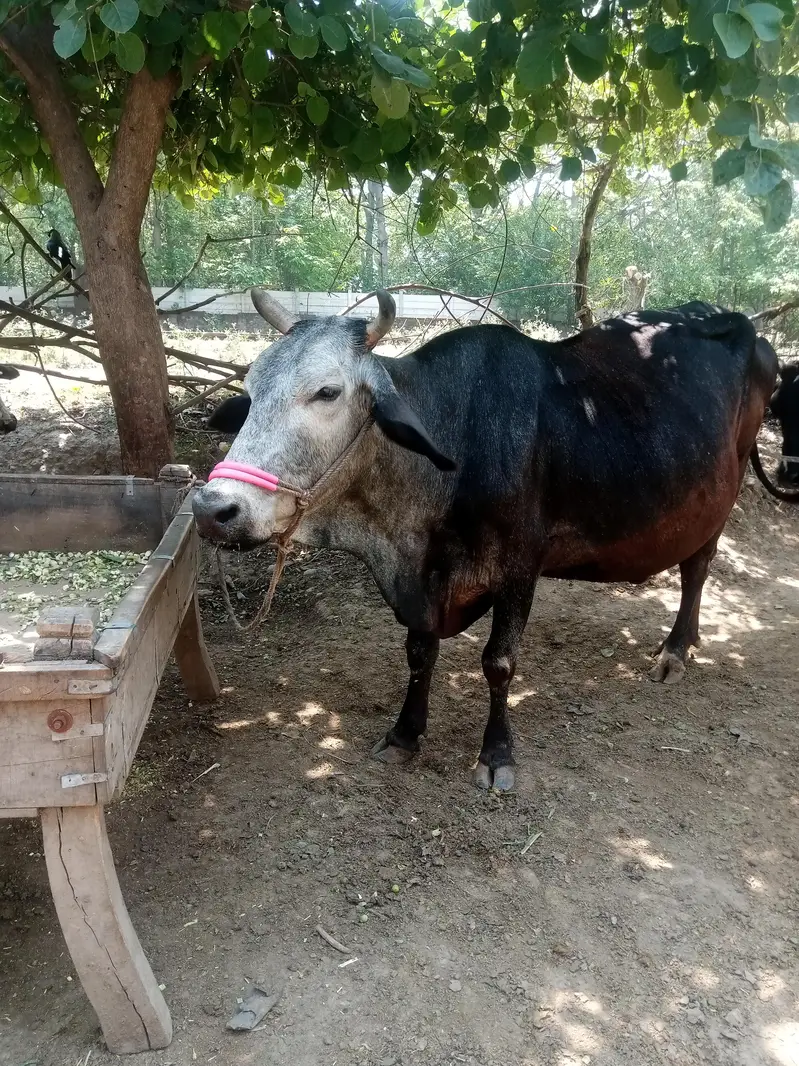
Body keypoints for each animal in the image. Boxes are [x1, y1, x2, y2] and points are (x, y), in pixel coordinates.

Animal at [192, 290, 779, 791]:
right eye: (252, 389)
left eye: (327, 391)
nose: (213, 509)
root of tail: (747, 327)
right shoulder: (428, 578)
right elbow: (419, 652)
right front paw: (405, 734)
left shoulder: (521, 566)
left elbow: (498, 663)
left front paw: (496, 754)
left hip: (718, 503)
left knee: (697, 568)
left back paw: (676, 649)